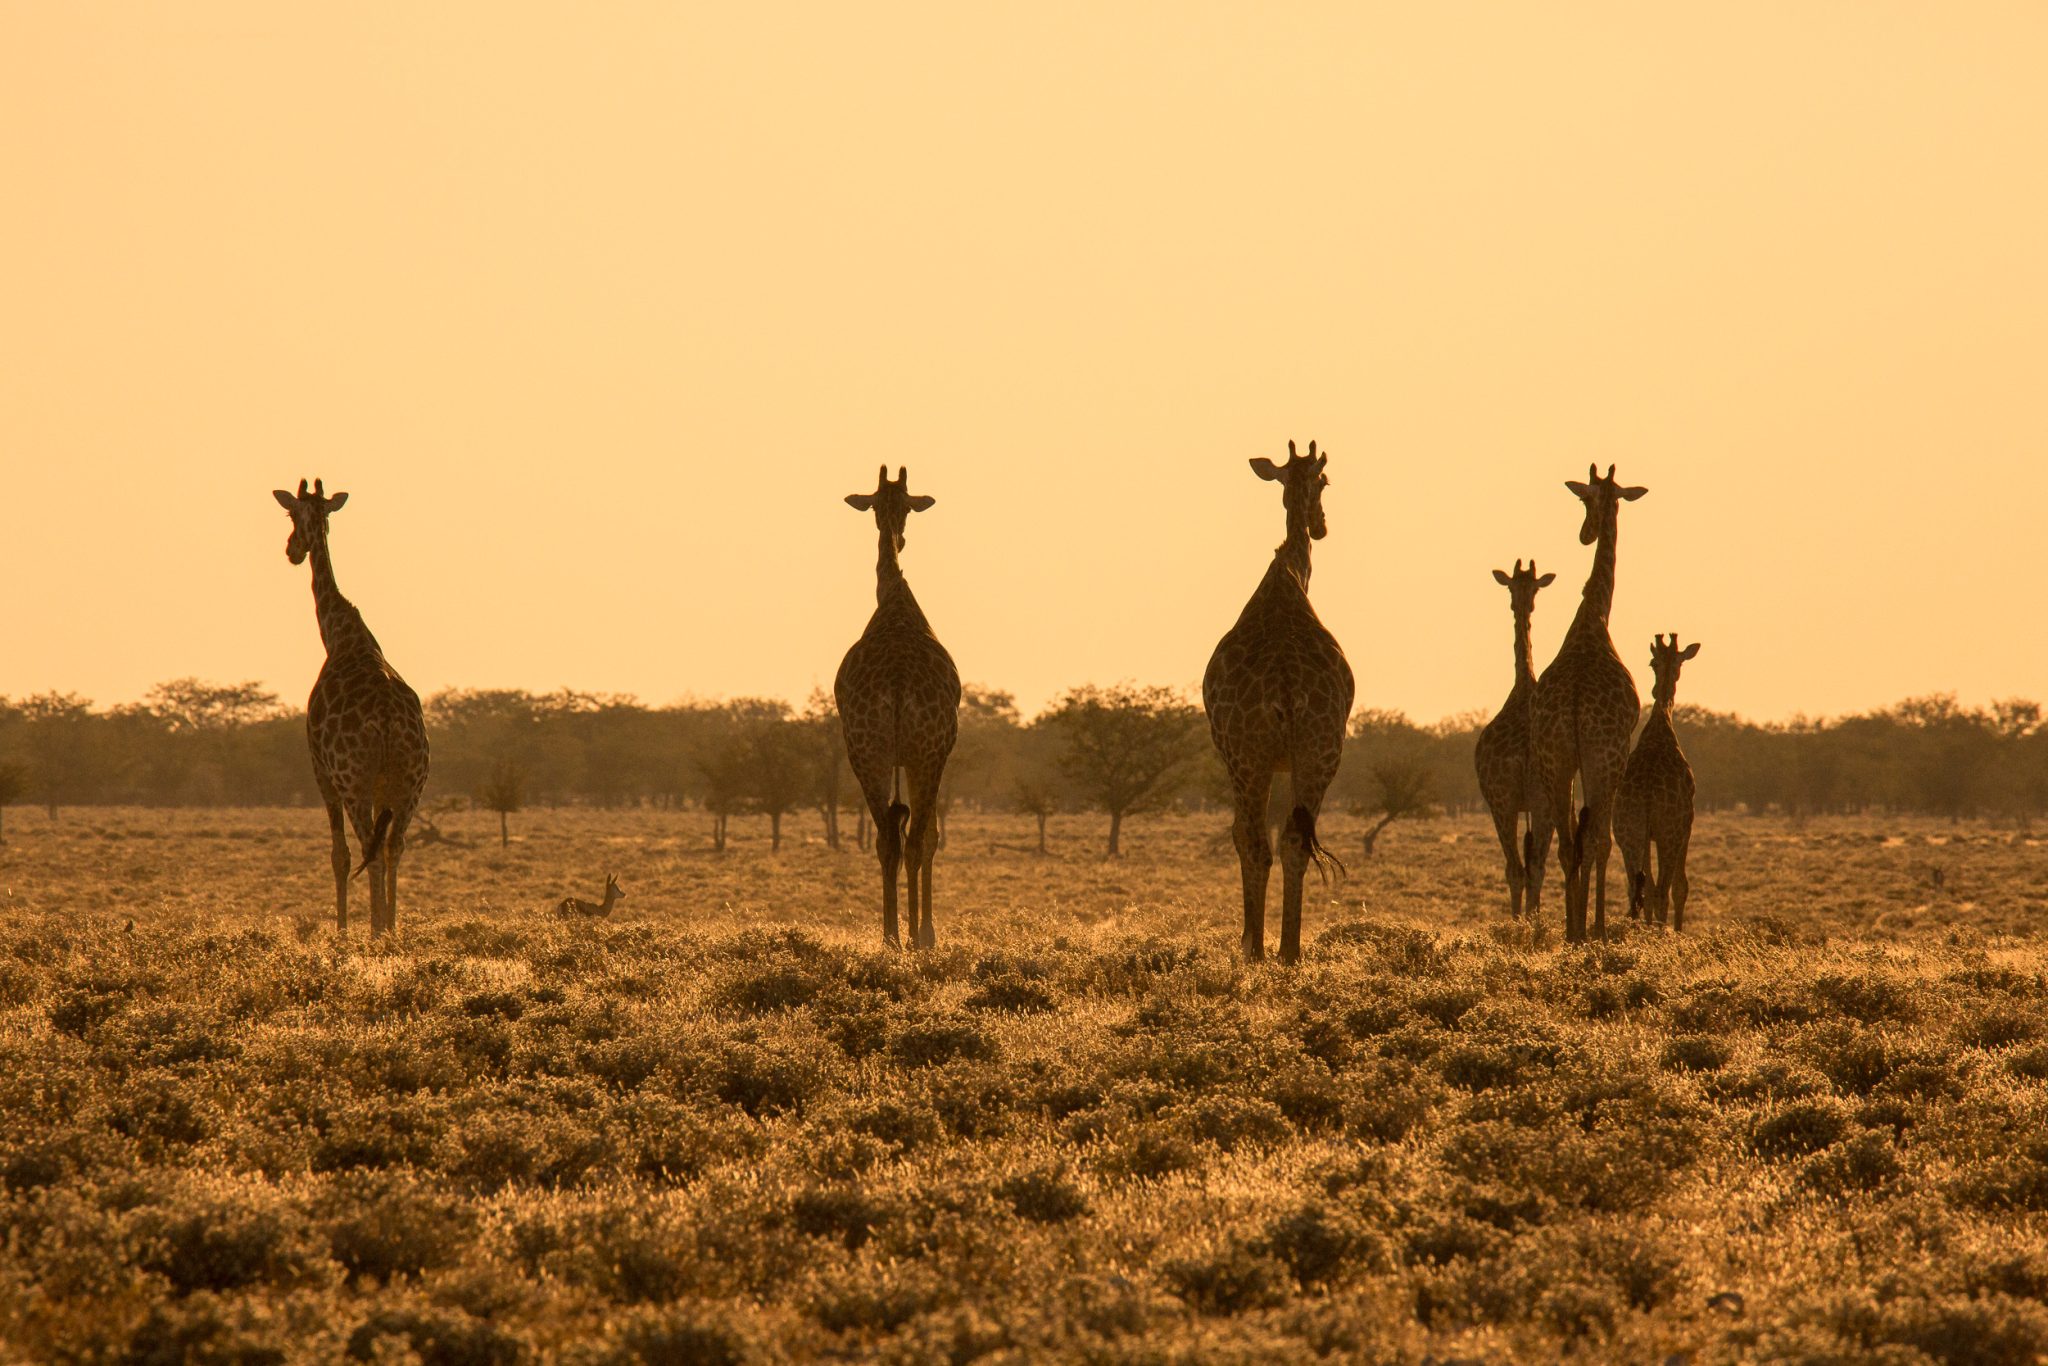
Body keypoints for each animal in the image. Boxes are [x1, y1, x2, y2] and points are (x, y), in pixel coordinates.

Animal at [272, 479, 430, 938]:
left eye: (291, 514)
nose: (292, 549)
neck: (339, 635)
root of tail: (390, 723)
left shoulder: (320, 770)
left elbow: (338, 855)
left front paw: (342, 933)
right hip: (410, 784)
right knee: (395, 847)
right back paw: (390, 931)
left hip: (354, 780)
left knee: (368, 851)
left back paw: (375, 934)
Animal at [834, 465, 960, 951]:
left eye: (903, 506)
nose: (901, 538)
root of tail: (899, 682)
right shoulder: (937, 753)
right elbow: (930, 837)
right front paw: (926, 931)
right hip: (922, 753)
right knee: (916, 836)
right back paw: (915, 937)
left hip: (866, 753)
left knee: (888, 835)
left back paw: (890, 937)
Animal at [1203, 440, 1355, 965]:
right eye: (1325, 481)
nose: (1321, 524)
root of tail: (1287, 686)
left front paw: (1252, 940)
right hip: (1313, 752)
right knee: (1284, 840)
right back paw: (1283, 950)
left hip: (1258, 756)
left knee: (1260, 838)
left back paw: (1266, 949)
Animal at [1616, 635, 1700, 930]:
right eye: (1681, 662)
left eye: (1654, 662)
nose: (1656, 690)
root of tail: (1649, 793)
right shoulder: (1685, 827)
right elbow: (1680, 886)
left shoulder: (1642, 833)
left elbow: (1647, 887)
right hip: (1668, 832)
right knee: (1663, 889)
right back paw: (1662, 933)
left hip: (1628, 833)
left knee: (1637, 887)